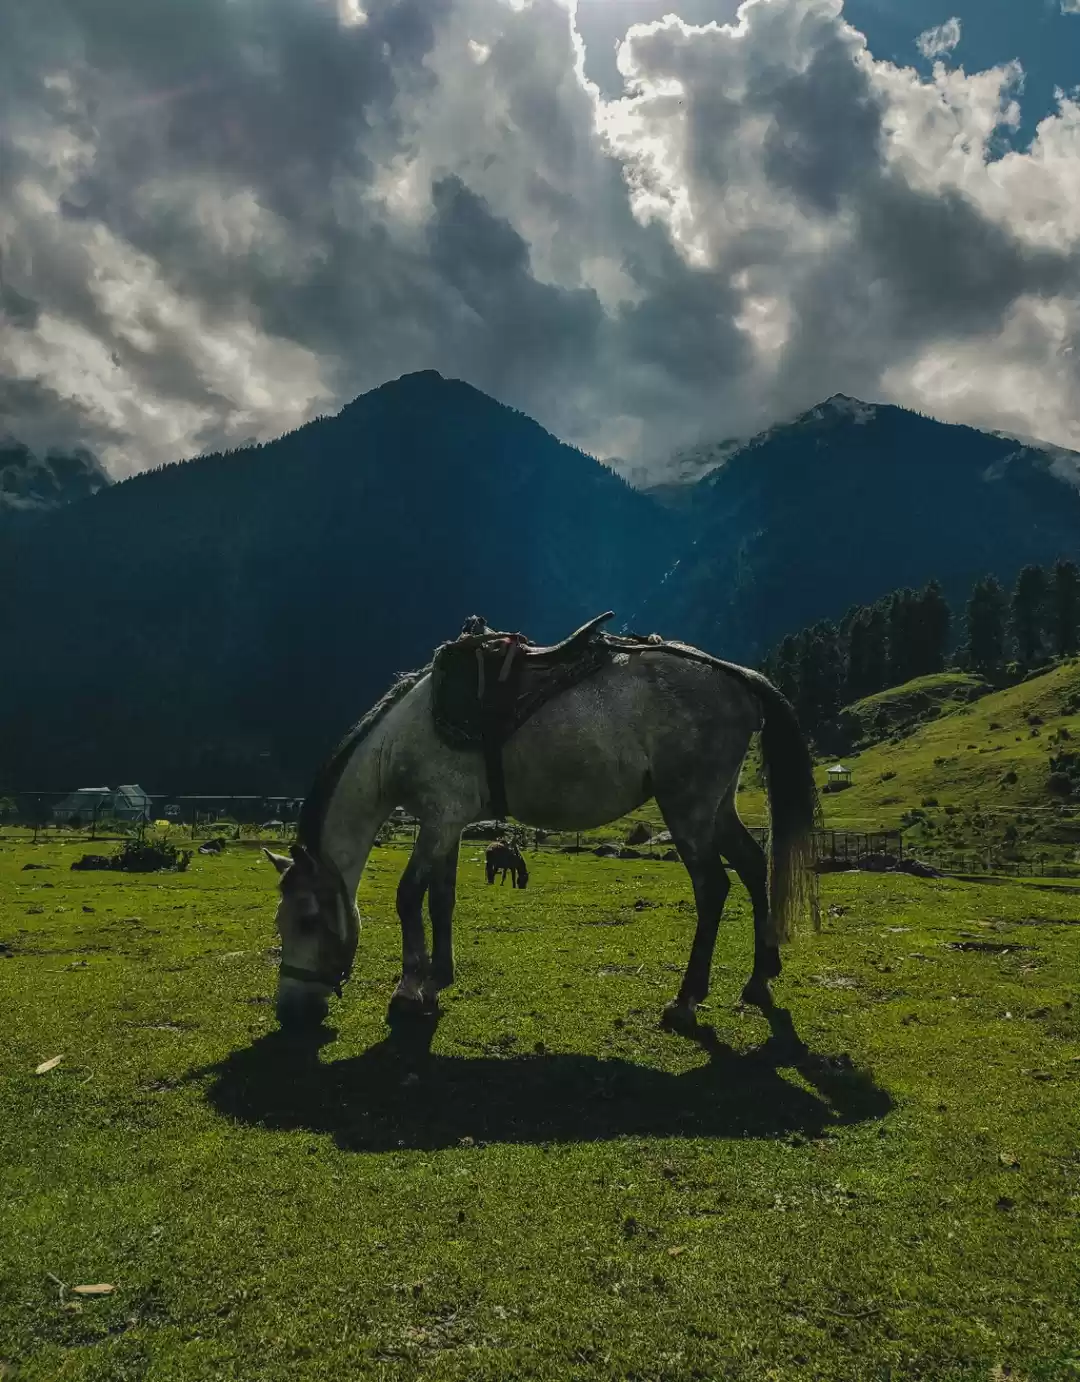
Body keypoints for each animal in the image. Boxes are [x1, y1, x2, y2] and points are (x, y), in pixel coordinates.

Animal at [263, 640, 819, 1032]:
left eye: (308, 921)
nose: (289, 1013)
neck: (403, 741)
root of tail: (737, 677)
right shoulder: (447, 823)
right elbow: (441, 899)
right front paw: (437, 979)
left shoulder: (439, 820)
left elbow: (408, 897)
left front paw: (407, 990)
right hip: (717, 807)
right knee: (753, 866)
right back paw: (759, 980)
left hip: (688, 808)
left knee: (713, 888)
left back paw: (686, 1002)